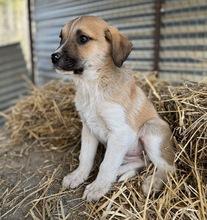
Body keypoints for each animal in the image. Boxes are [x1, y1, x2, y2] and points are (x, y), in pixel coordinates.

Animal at [50, 15, 175, 201]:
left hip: (152, 131)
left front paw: (98, 187)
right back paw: (121, 172)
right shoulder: (88, 128)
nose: (53, 57)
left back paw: (152, 183)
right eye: (61, 37)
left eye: (83, 38)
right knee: (140, 163)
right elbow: (85, 157)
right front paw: (78, 176)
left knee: (168, 167)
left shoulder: (120, 132)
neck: (93, 85)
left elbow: (106, 164)